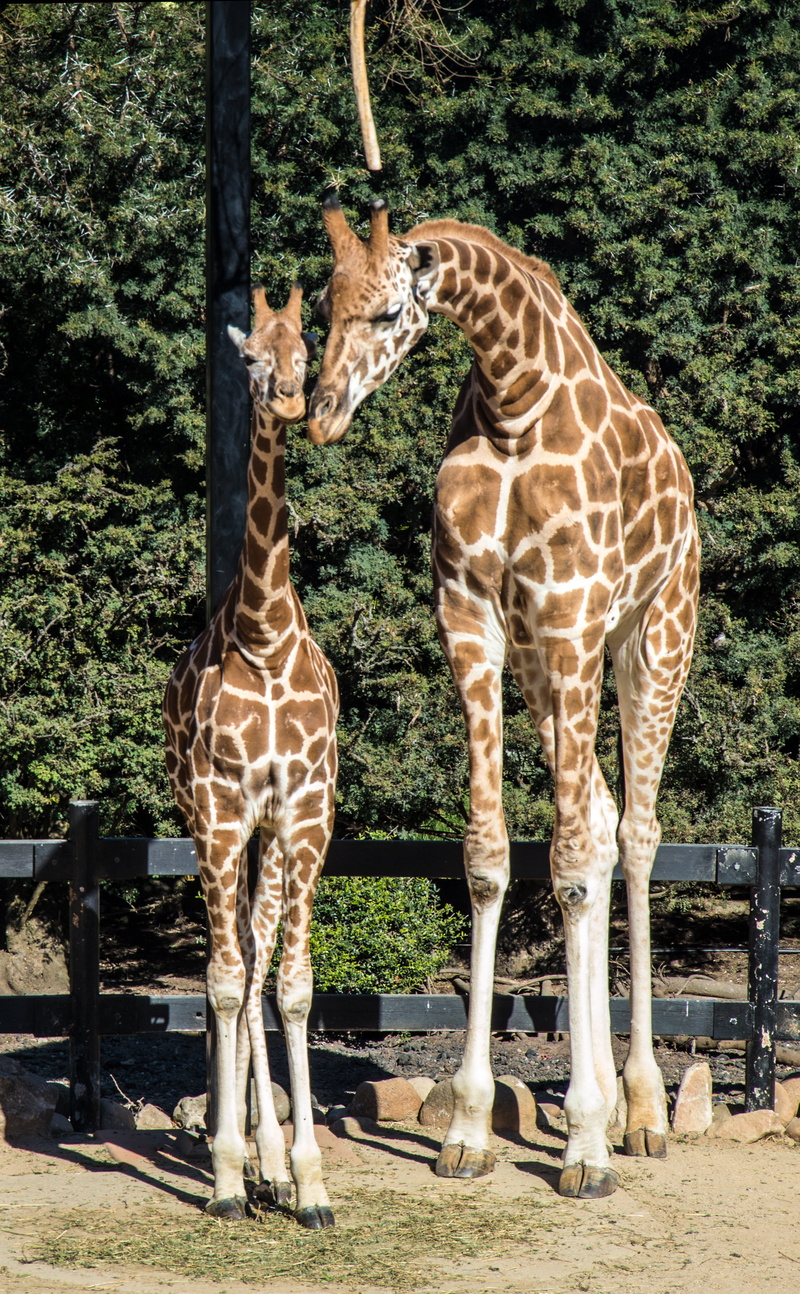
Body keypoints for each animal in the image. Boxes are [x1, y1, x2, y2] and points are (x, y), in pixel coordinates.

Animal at [307, 198, 699, 1199]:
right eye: (323, 305)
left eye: (385, 311)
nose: (319, 413)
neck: (514, 397)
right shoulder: (472, 617)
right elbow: (490, 857)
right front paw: (471, 1130)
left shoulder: (570, 613)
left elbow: (567, 868)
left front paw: (586, 1149)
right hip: (542, 661)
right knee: (597, 817)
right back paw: (609, 1100)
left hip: (650, 635)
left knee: (635, 835)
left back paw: (642, 1111)